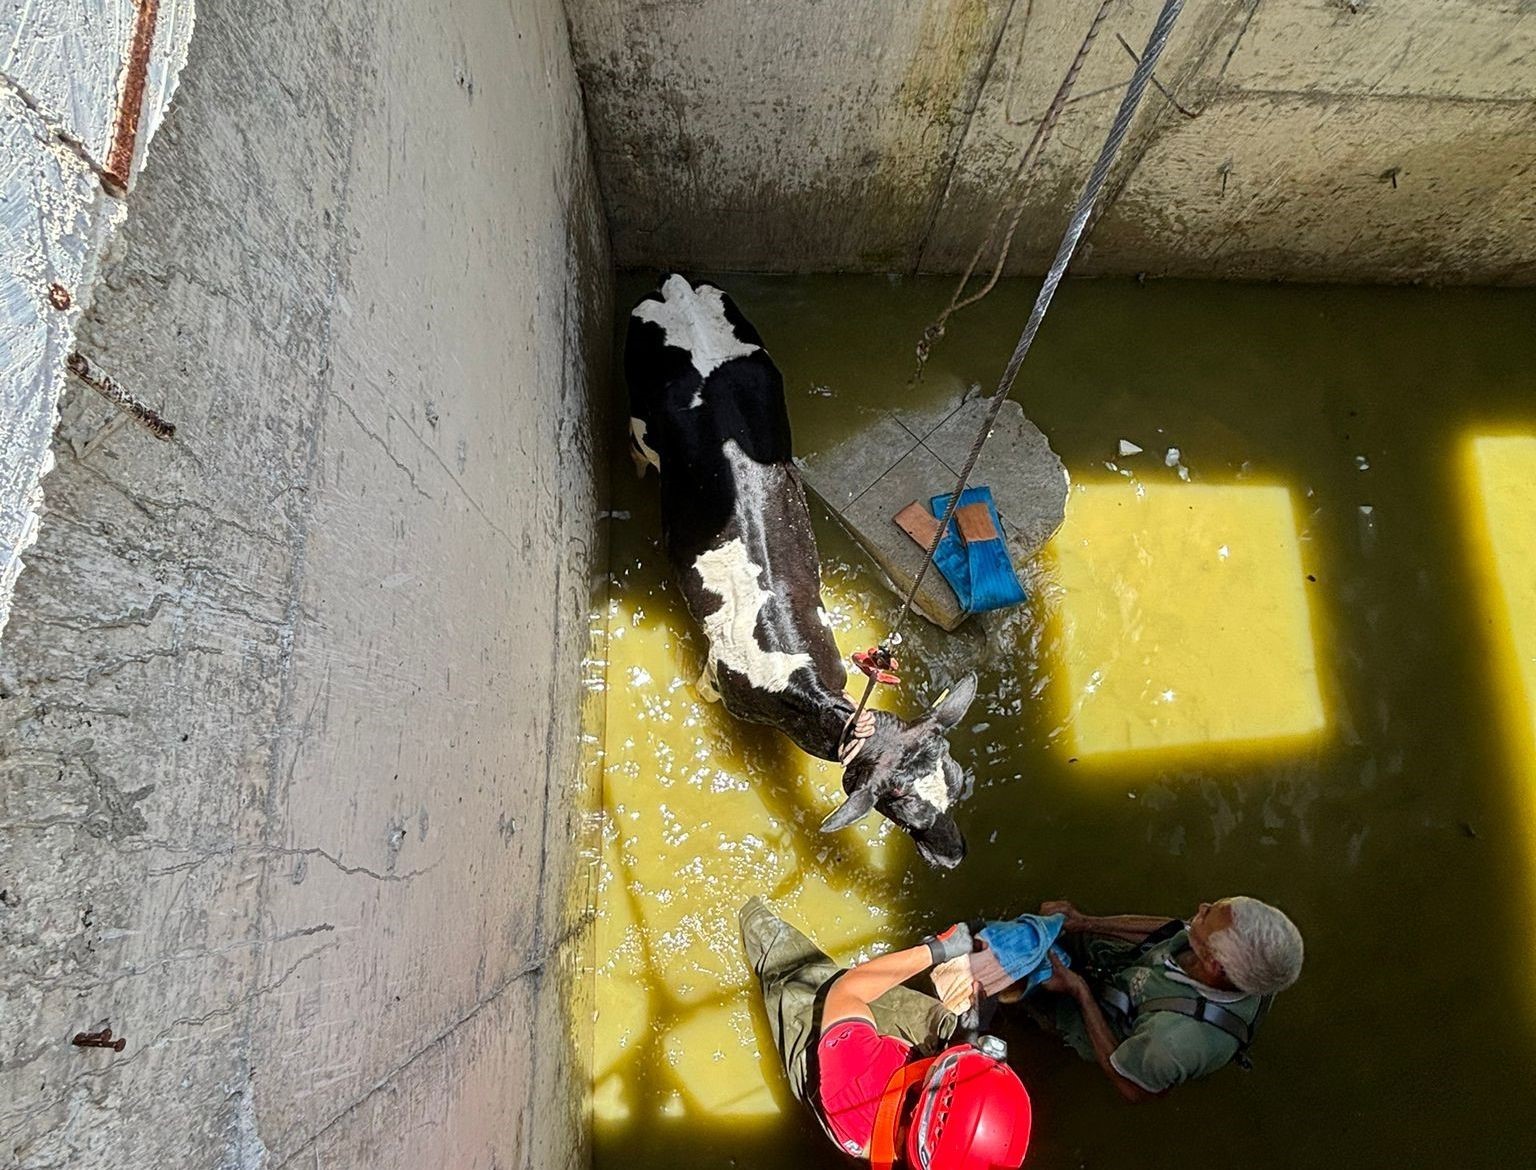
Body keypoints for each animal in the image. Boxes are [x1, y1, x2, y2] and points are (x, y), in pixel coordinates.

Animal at [626, 268, 976, 859]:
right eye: (904, 814)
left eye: (956, 782)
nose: (955, 854)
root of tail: (676, 283)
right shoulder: (715, 684)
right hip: (634, 410)